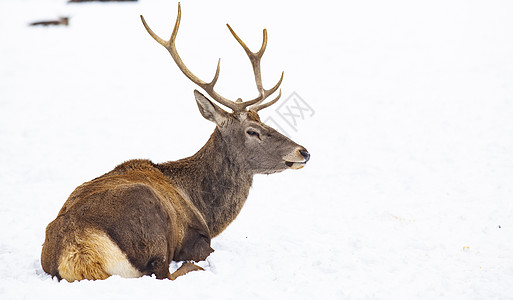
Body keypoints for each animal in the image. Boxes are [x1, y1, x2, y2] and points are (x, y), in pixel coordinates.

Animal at [41, 2, 308, 282]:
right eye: (252, 131)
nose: (303, 152)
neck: (205, 209)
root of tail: (77, 251)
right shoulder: (197, 236)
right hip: (150, 227)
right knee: (163, 272)